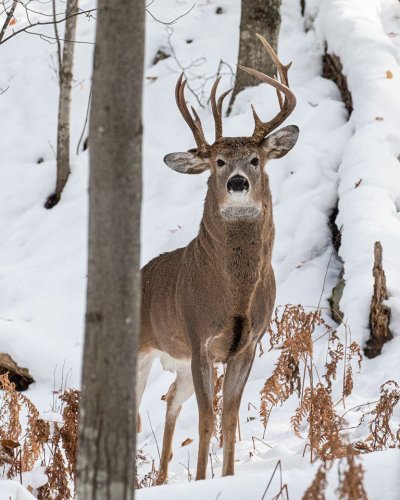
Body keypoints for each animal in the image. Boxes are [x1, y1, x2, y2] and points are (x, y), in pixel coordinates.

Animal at [138, 33, 296, 482]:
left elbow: (229, 417)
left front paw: (226, 478)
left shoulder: (249, 344)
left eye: (256, 159)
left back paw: (161, 479)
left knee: (170, 400)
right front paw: (201, 482)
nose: (238, 182)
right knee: (135, 412)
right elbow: (207, 419)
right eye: (219, 161)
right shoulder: (199, 340)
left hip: (178, 362)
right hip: (142, 348)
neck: (234, 297)